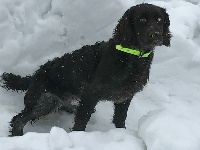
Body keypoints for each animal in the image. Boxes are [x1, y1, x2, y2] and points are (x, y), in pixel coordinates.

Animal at [1, 4, 170, 137]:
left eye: (159, 20)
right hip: (42, 101)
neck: (131, 58)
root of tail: (34, 74)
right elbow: (82, 120)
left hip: (50, 101)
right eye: (142, 20)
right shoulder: (91, 92)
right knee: (18, 119)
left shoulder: (125, 97)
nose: (155, 35)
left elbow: (120, 119)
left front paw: (122, 133)